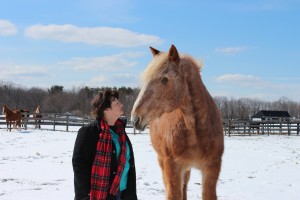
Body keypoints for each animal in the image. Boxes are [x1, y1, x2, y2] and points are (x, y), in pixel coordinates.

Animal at [131, 45, 223, 200]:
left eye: (164, 79)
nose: (135, 118)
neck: (195, 130)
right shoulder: (172, 165)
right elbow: (173, 194)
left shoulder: (212, 167)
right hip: (163, 161)